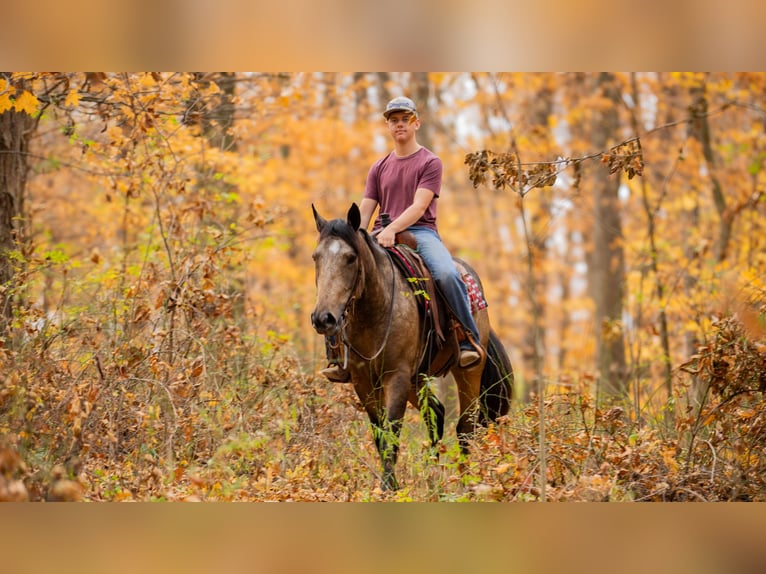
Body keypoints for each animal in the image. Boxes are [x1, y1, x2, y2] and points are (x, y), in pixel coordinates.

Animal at [308, 205, 512, 492]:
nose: (323, 318)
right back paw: (432, 473)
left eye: (350, 258)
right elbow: (379, 432)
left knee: (466, 426)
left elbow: (392, 430)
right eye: (316, 257)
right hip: (418, 378)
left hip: (469, 371)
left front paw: (388, 488)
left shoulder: (397, 376)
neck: (375, 311)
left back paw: (464, 482)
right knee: (436, 413)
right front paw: (391, 485)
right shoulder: (363, 381)